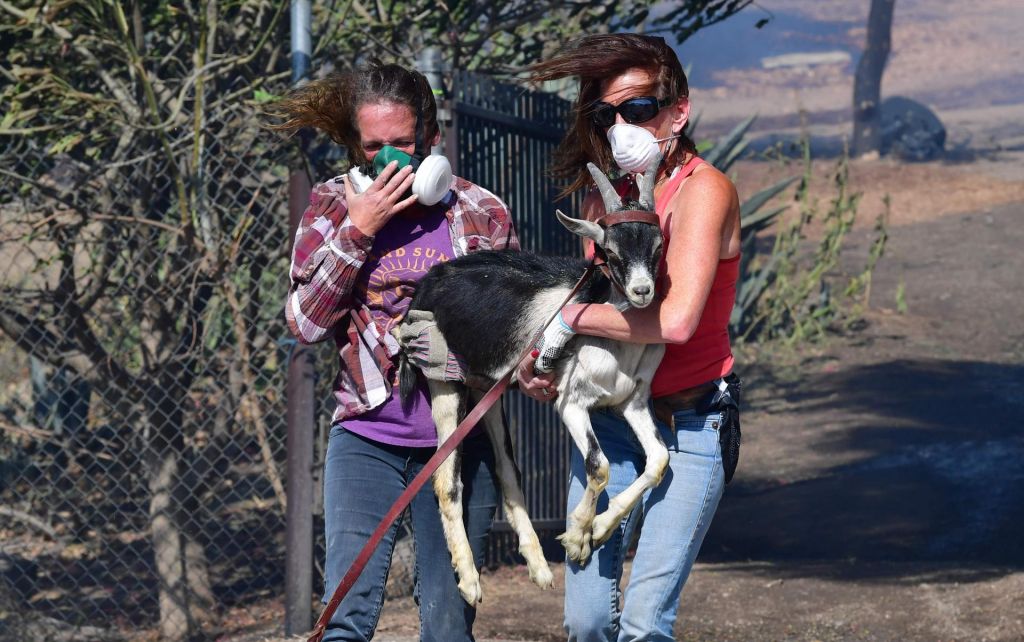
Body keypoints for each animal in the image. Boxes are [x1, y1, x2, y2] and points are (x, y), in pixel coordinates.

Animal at [395, 158, 667, 606]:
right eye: (609, 251)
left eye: (658, 246)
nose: (642, 291)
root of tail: (430, 280)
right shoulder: (570, 402)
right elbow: (599, 465)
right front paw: (576, 537)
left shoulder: (633, 401)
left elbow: (659, 460)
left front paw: (600, 529)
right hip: (443, 381)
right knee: (444, 479)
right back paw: (469, 579)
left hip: (486, 388)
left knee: (507, 468)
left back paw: (538, 567)